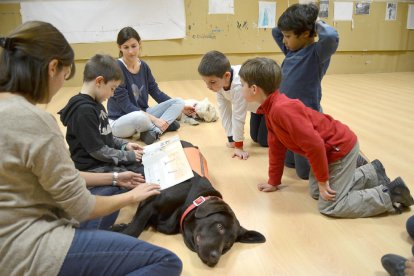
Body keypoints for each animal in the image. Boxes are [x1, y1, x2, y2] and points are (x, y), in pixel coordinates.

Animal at [113, 143, 266, 266]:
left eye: (228, 244)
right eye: (220, 227)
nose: (215, 258)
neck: (191, 200)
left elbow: (135, 223)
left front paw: (119, 227)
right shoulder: (151, 203)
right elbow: (133, 230)